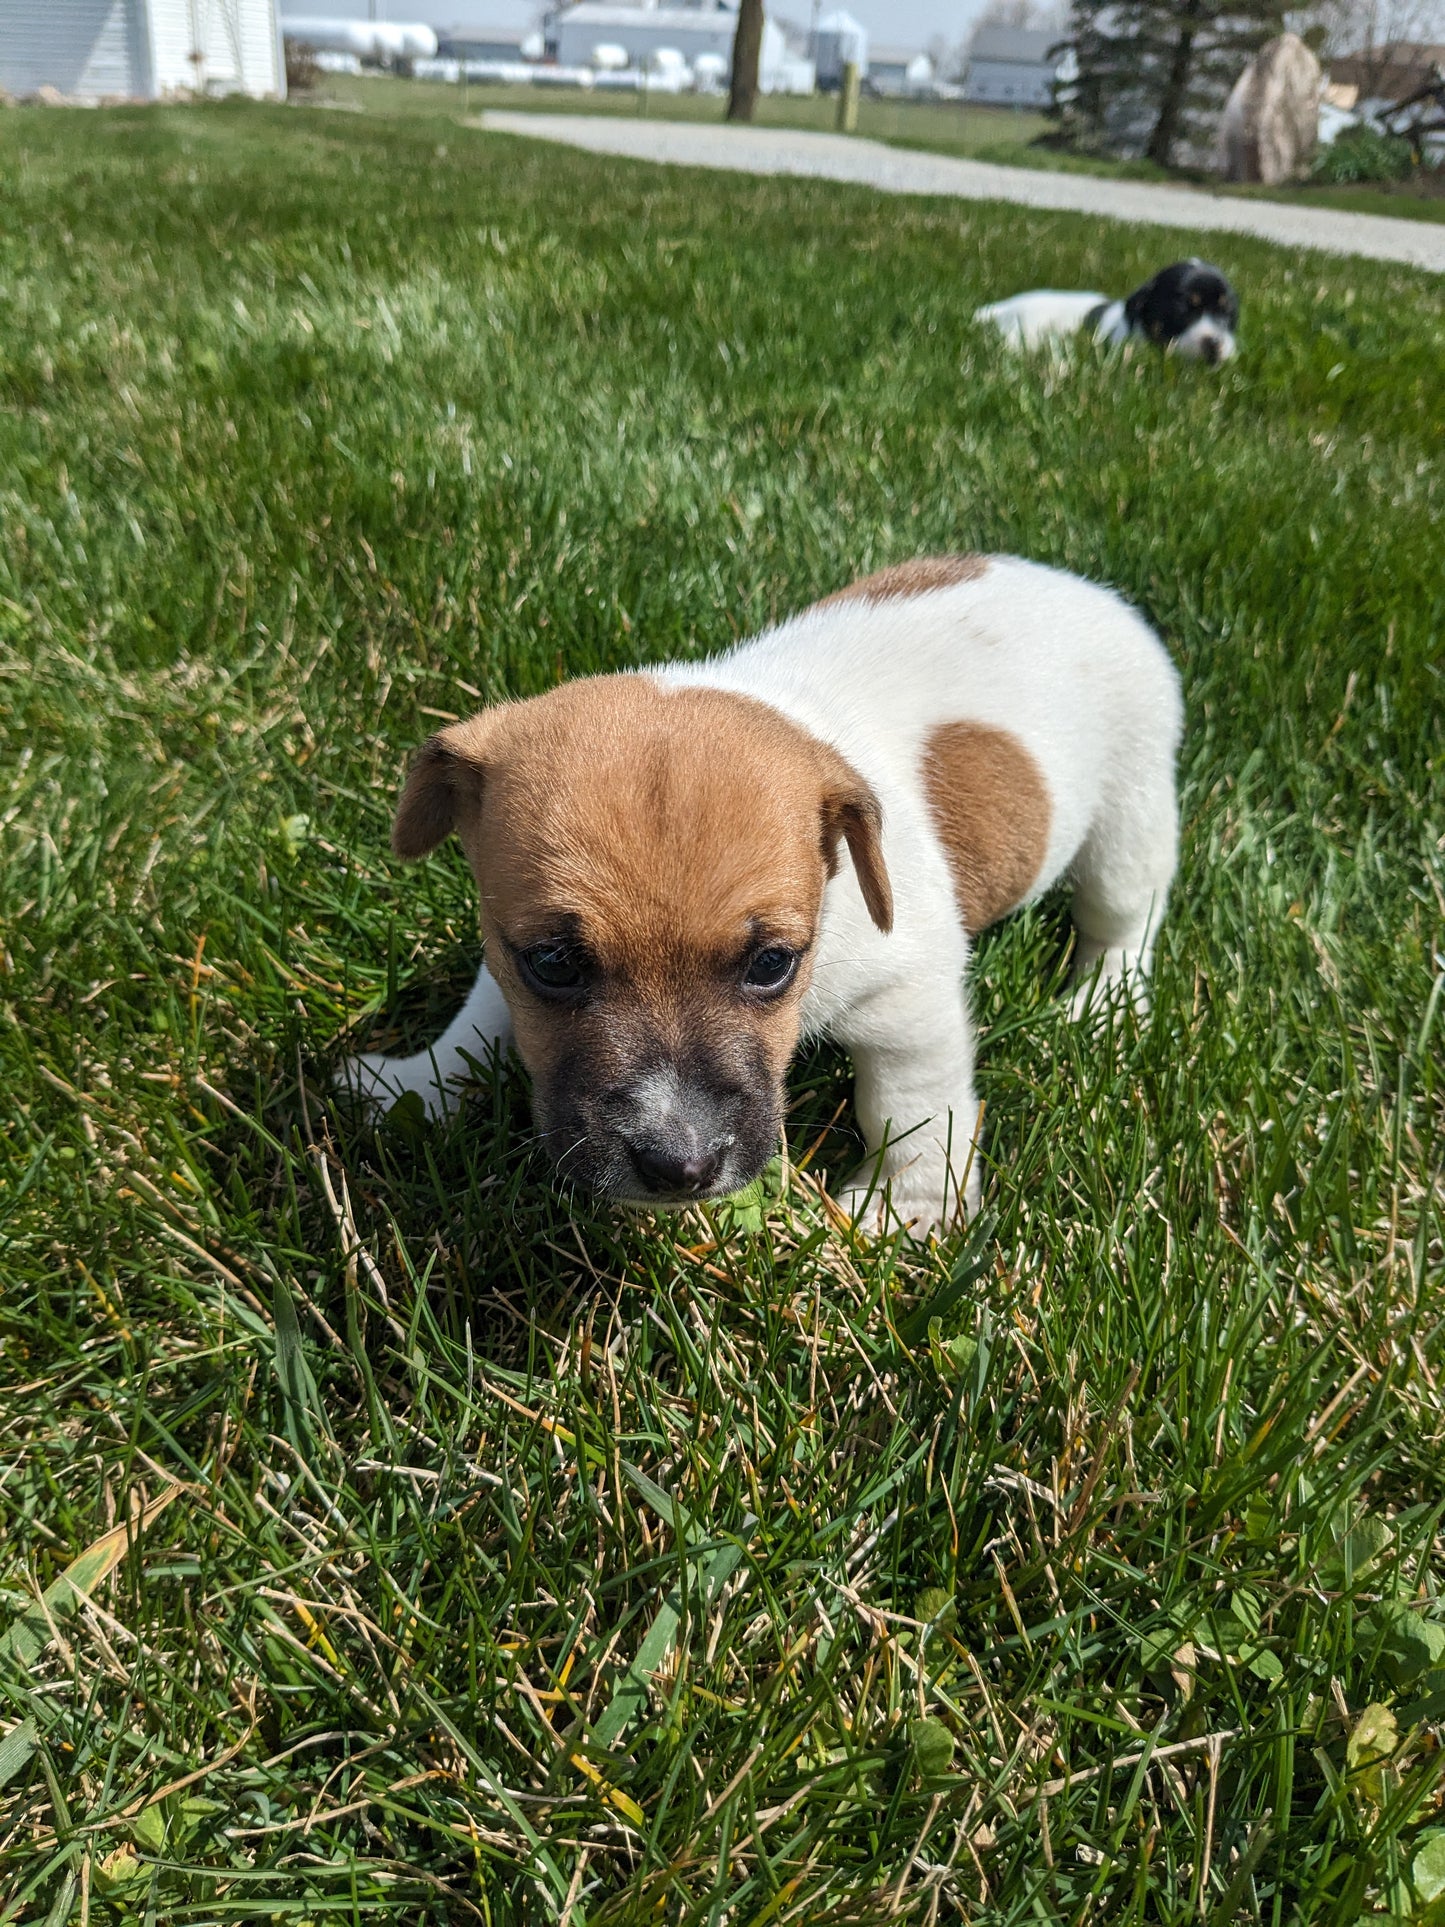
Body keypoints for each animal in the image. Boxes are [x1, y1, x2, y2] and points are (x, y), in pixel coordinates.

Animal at [350, 554, 1186, 1233]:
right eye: (553, 964)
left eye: (771, 964)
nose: (679, 1166)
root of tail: (1085, 589)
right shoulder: (505, 946)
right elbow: (475, 1025)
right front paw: (411, 1086)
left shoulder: (907, 1003)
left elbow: (910, 1110)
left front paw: (902, 1208)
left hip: (1129, 817)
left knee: (1124, 919)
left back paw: (1103, 1004)